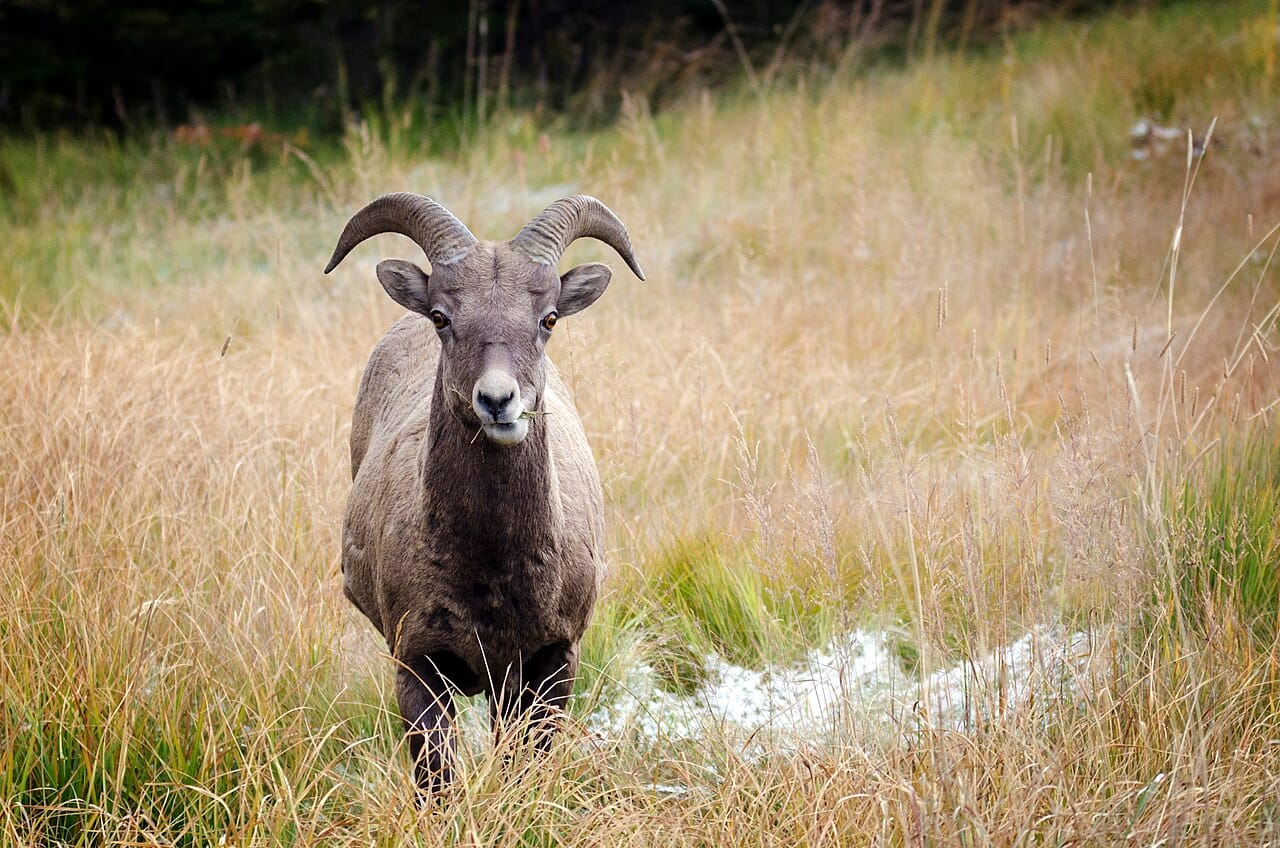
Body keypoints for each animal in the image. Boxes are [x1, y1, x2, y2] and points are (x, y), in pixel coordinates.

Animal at [323, 192, 644, 794]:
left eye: (548, 318)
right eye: (442, 317)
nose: (498, 401)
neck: (493, 569)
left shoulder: (549, 663)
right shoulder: (418, 666)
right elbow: (437, 781)